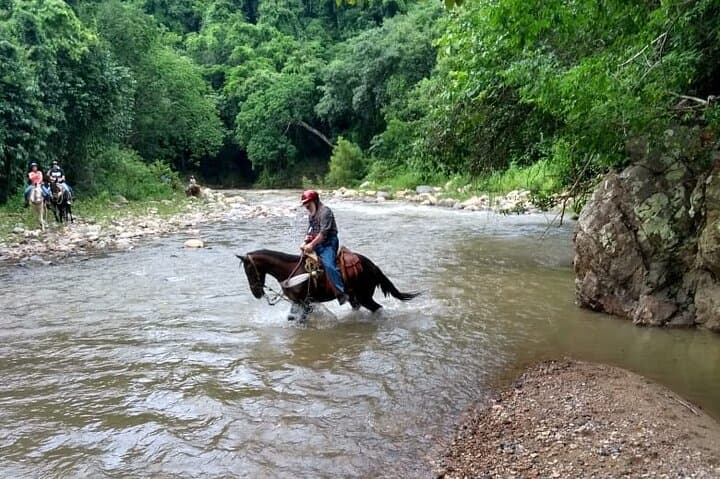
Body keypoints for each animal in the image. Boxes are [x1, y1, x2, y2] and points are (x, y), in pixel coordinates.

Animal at [237, 249, 419, 320]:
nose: (256, 293)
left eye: (249, 270)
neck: (290, 271)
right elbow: (291, 318)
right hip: (354, 297)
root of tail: (372, 266)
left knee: (378, 308)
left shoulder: (306, 303)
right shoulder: (298, 303)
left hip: (364, 296)